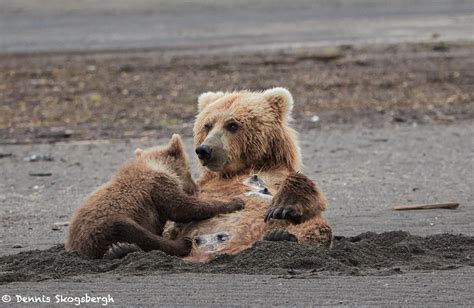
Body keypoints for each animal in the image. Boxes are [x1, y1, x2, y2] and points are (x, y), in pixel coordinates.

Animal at [165, 87, 332, 262]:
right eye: (208, 125)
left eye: (232, 125)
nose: (204, 150)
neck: (239, 170)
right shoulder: (199, 186)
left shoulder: (277, 174)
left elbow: (308, 195)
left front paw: (282, 207)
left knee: (317, 229)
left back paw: (279, 236)